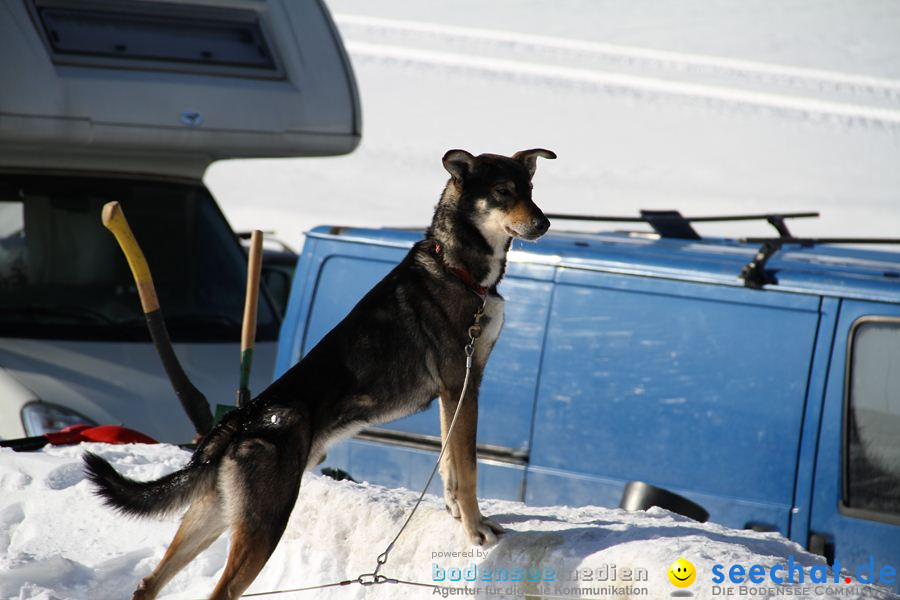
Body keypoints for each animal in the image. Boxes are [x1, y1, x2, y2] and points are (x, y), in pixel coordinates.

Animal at [88, 148, 560, 596]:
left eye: (530, 188)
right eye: (502, 192)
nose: (544, 223)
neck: (457, 268)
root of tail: (238, 422)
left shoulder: (455, 393)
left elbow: (449, 465)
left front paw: (457, 514)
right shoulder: (462, 383)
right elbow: (468, 468)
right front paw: (475, 529)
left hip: (215, 515)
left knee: (148, 584)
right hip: (265, 525)